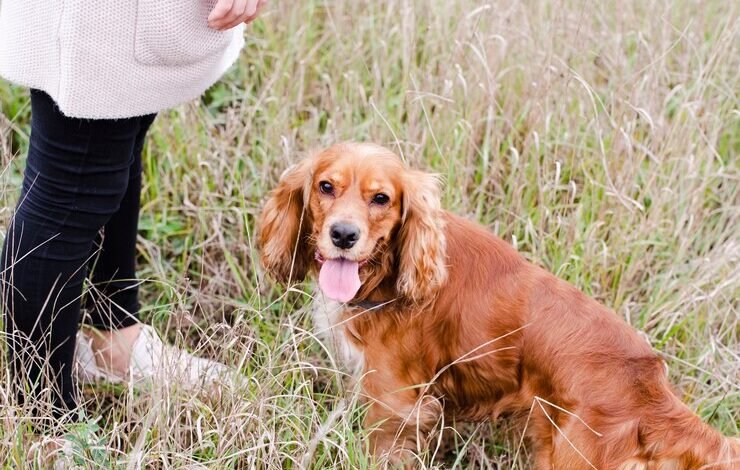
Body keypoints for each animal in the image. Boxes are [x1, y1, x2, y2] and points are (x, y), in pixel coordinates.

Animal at [258, 143, 736, 470]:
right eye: (326, 187)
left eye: (381, 199)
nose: (343, 235)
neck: (392, 270)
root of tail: (649, 383)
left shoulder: (395, 399)